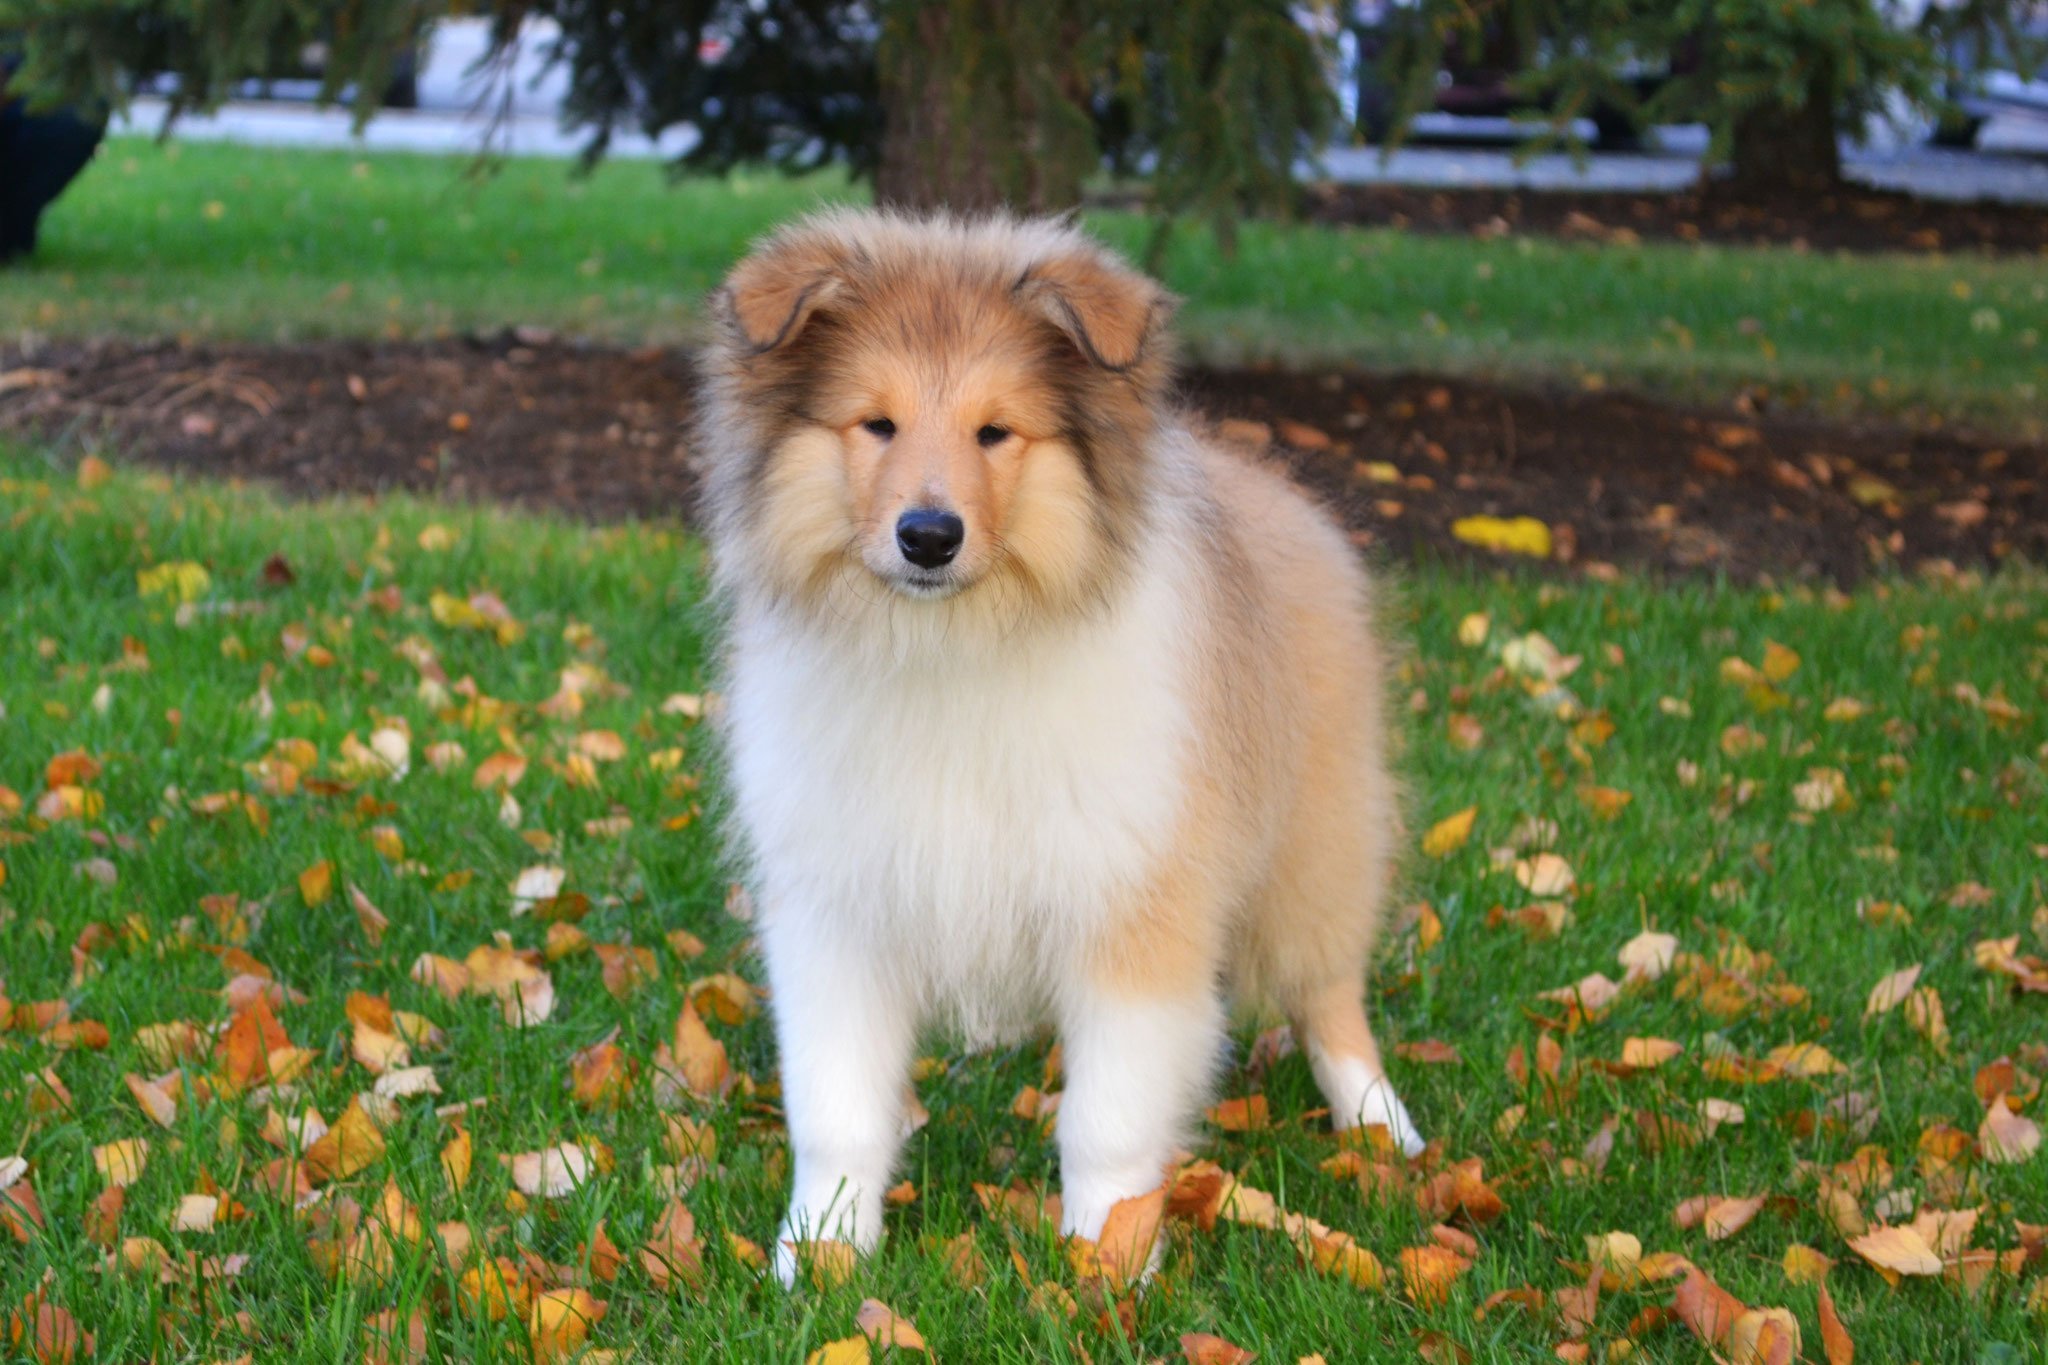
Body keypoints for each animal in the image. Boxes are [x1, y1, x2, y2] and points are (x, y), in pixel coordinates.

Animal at [696, 210, 1417, 1285]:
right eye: (876, 424)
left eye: (996, 430)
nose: (928, 535)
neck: (952, 649)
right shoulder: (839, 908)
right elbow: (836, 1107)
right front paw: (821, 1252)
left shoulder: (1135, 904)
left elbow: (1106, 1119)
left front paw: (1104, 1264)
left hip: (1315, 839)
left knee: (1330, 993)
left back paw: (1383, 1127)